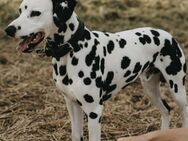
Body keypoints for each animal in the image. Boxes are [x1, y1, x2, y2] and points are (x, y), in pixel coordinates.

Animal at [4, 0, 188, 140]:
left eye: (35, 13)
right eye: (20, 11)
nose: (8, 29)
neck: (72, 48)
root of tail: (168, 35)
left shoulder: (94, 112)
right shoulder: (72, 105)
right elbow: (76, 135)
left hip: (177, 89)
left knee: (183, 112)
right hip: (150, 89)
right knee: (166, 109)